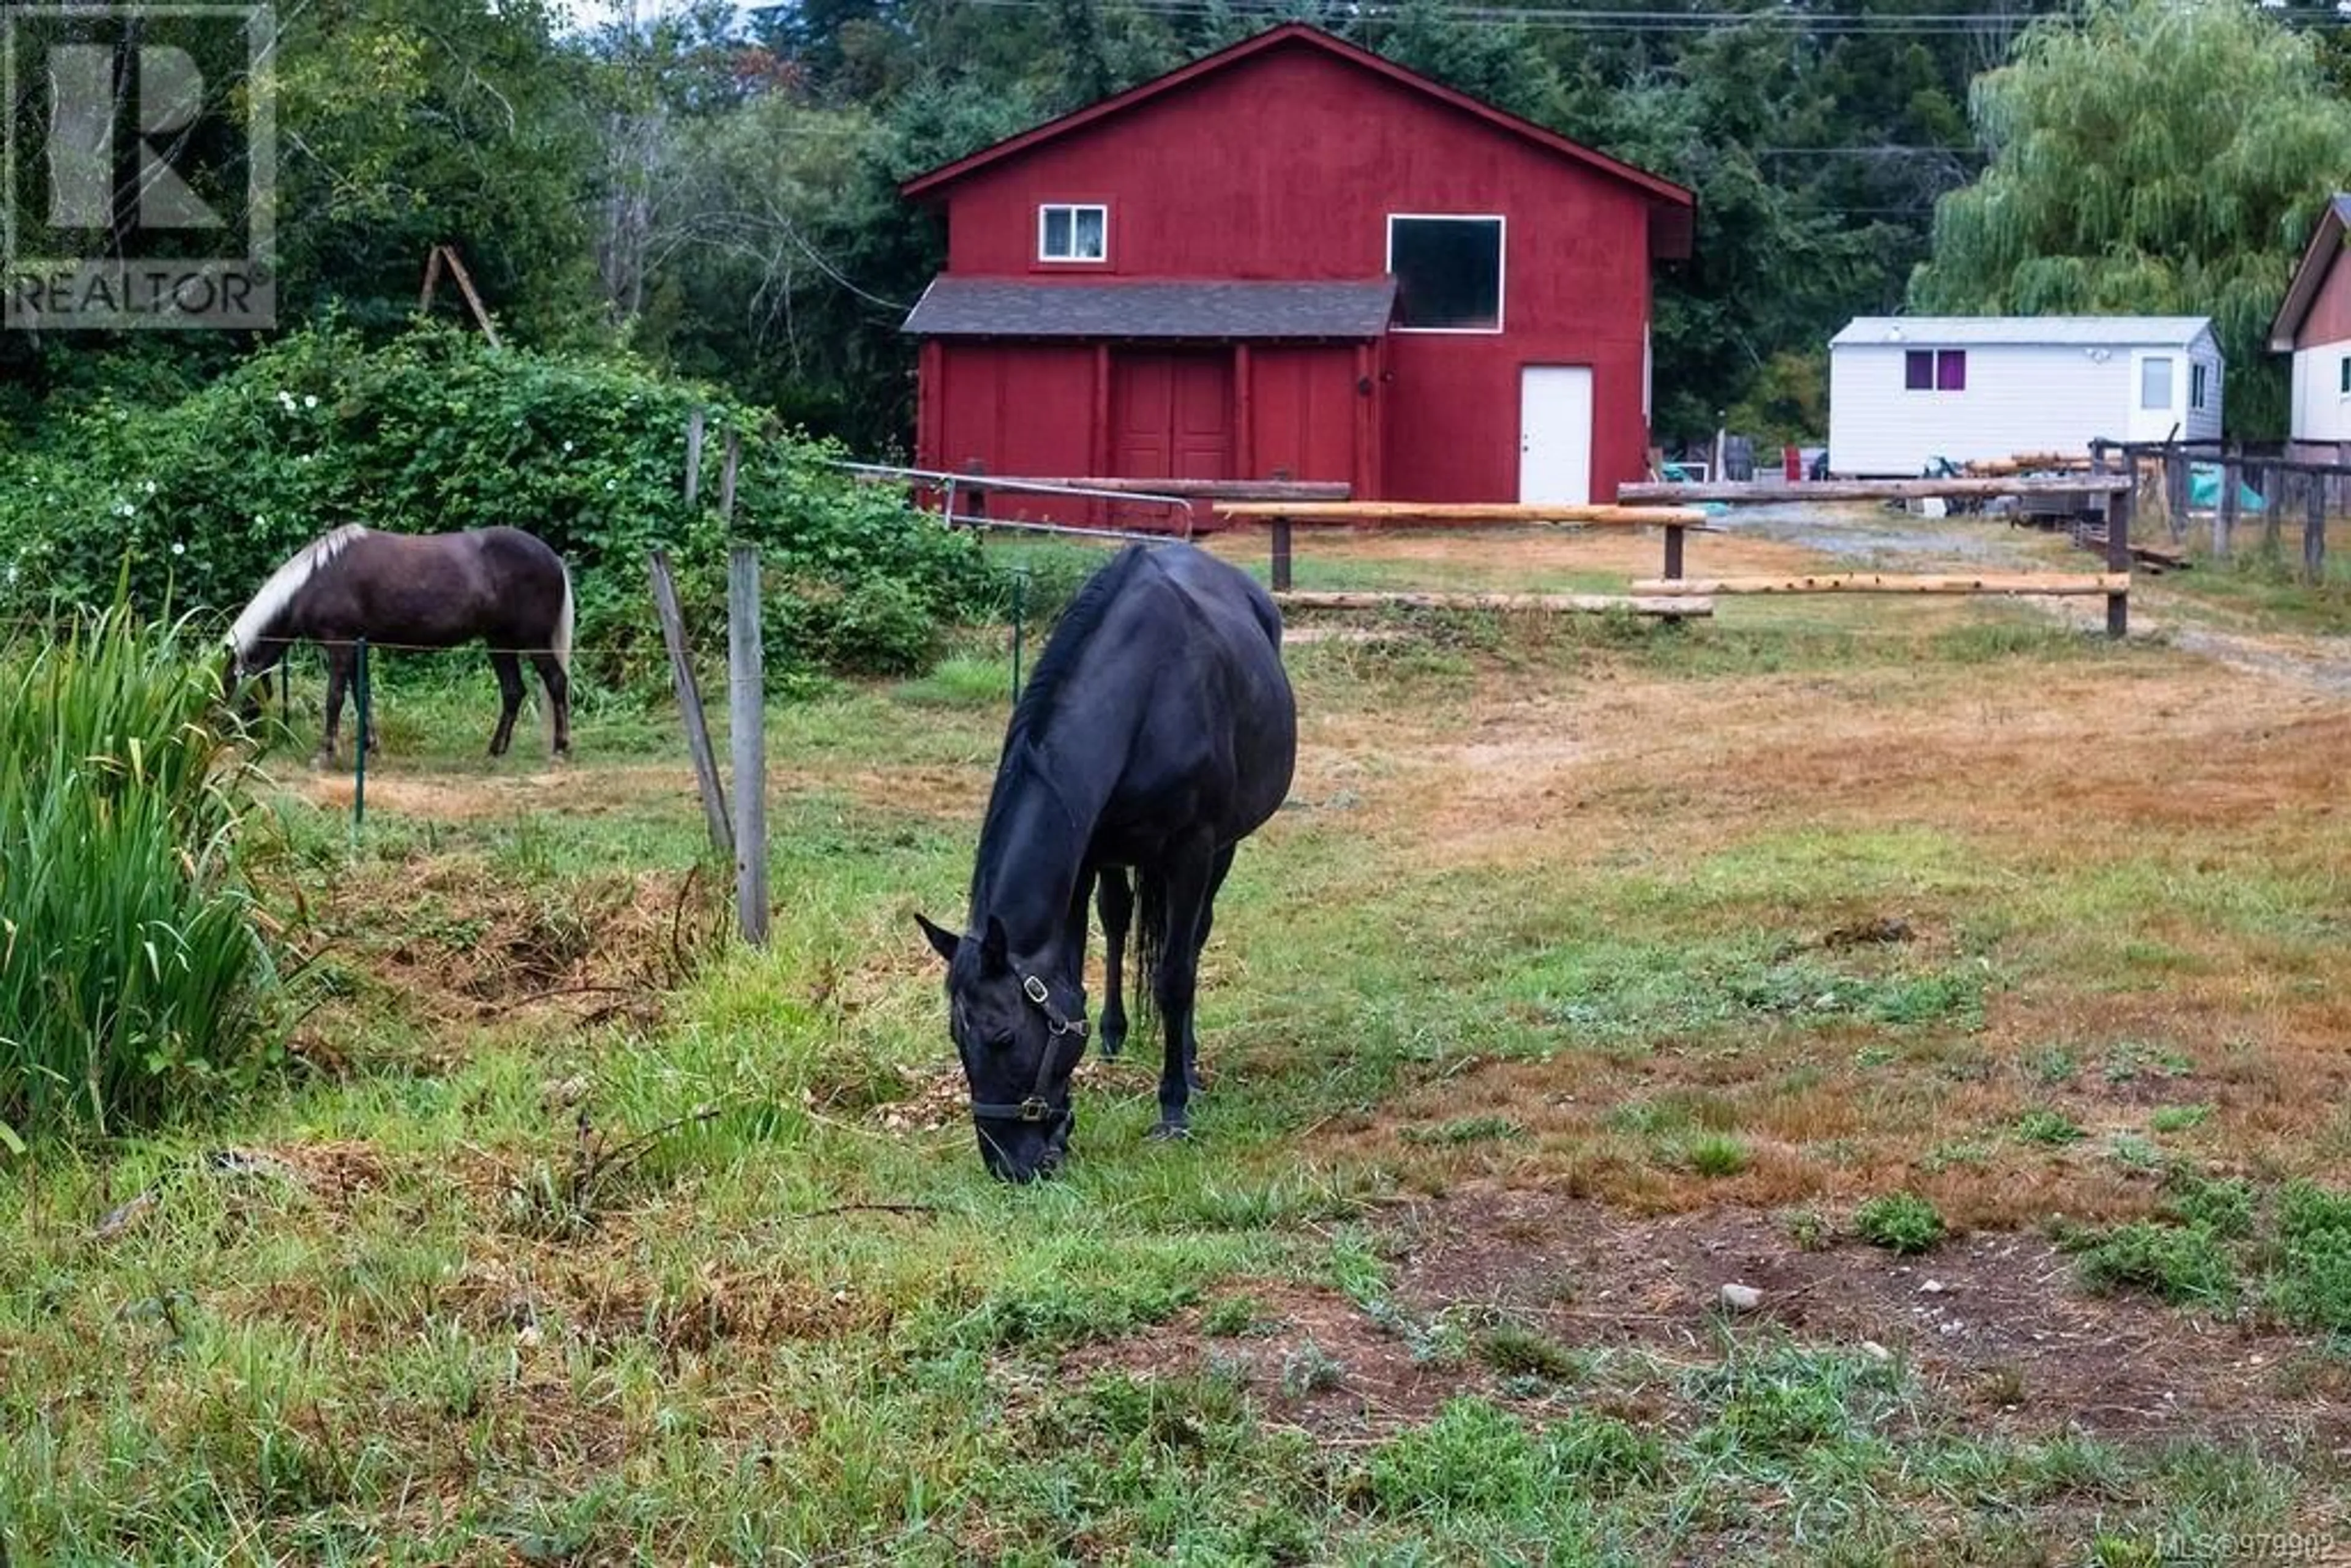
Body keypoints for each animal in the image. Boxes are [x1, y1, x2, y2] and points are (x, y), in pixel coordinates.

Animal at [222, 527, 576, 766]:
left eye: (226, 687)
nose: (224, 737)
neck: (317, 580)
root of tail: (553, 558)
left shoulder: (340, 646)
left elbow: (335, 698)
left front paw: (325, 754)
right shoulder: (356, 649)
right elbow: (361, 696)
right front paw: (370, 747)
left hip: (533, 642)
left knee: (556, 681)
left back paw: (560, 749)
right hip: (499, 643)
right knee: (513, 691)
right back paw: (495, 751)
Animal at [912, 545, 1297, 1185]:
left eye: (1002, 1036)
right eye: (954, 1038)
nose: (1007, 1165)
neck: (1144, 696)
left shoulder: (1193, 849)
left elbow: (1174, 976)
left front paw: (1174, 1107)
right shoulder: (1087, 852)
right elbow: (1073, 977)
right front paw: (1067, 1119)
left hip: (1221, 850)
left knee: (1193, 939)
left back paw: (1189, 1061)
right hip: (1120, 857)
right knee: (1118, 919)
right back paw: (1117, 1036)